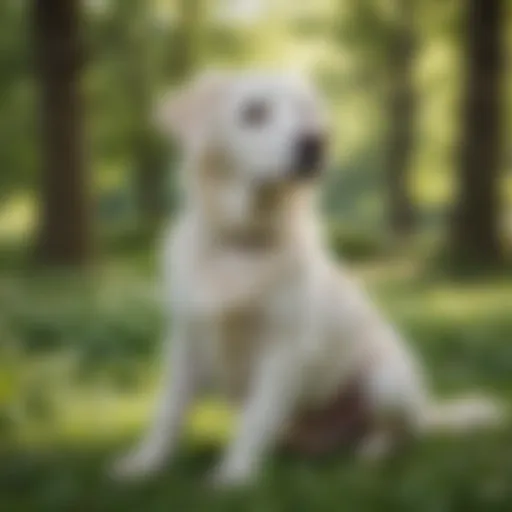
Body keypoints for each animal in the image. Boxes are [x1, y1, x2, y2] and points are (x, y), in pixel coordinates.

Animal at [113, 70, 504, 486]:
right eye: (254, 112)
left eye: (304, 111)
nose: (315, 142)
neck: (242, 242)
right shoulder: (185, 340)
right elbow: (167, 414)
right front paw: (144, 465)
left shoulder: (281, 349)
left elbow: (255, 420)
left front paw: (234, 477)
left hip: (387, 380)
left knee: (395, 434)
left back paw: (372, 453)